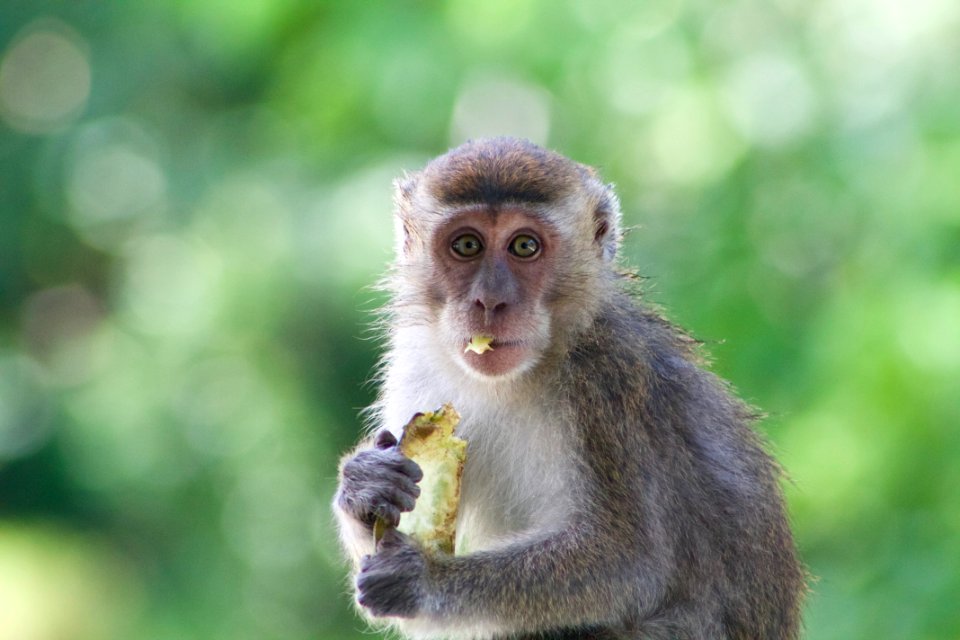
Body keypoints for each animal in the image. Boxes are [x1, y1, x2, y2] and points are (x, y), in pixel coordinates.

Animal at [330, 138, 804, 636]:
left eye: (524, 246)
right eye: (466, 245)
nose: (490, 301)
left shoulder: (606, 381)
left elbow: (630, 560)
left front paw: (428, 580)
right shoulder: (416, 363)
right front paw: (365, 486)